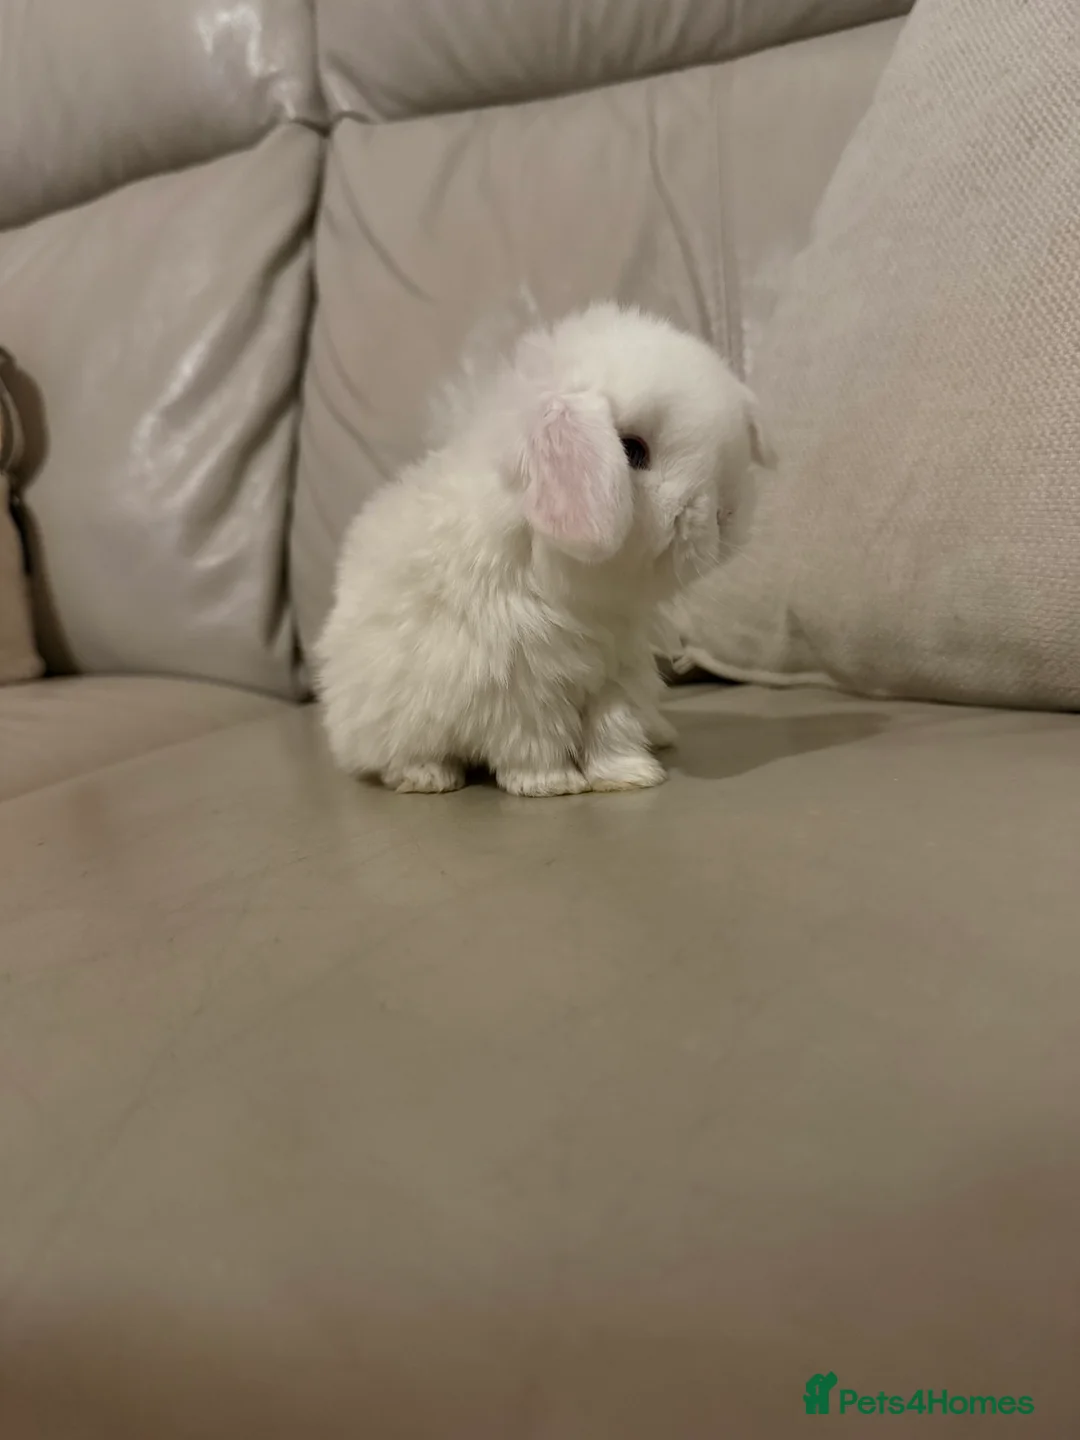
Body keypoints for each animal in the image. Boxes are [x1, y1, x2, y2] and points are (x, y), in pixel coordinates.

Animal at [315, 302, 773, 796]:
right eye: (632, 451)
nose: (725, 516)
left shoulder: (617, 675)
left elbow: (614, 729)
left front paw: (631, 776)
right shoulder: (520, 688)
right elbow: (535, 741)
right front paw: (552, 785)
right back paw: (429, 776)